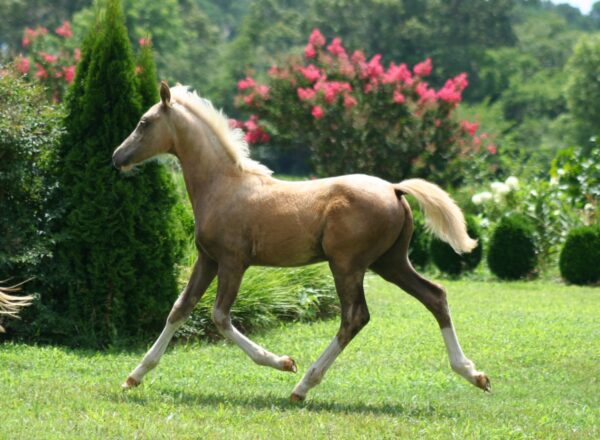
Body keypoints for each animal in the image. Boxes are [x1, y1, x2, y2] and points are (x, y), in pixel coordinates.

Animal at [112, 81, 490, 401]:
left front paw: (283, 362)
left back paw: (303, 385)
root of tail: (395, 189)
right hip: (390, 262)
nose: (117, 157)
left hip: (347, 264)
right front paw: (134, 376)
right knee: (434, 296)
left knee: (354, 317)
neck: (223, 186)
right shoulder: (208, 258)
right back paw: (474, 374)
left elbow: (220, 317)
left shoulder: (234, 261)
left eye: (144, 122)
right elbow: (180, 308)